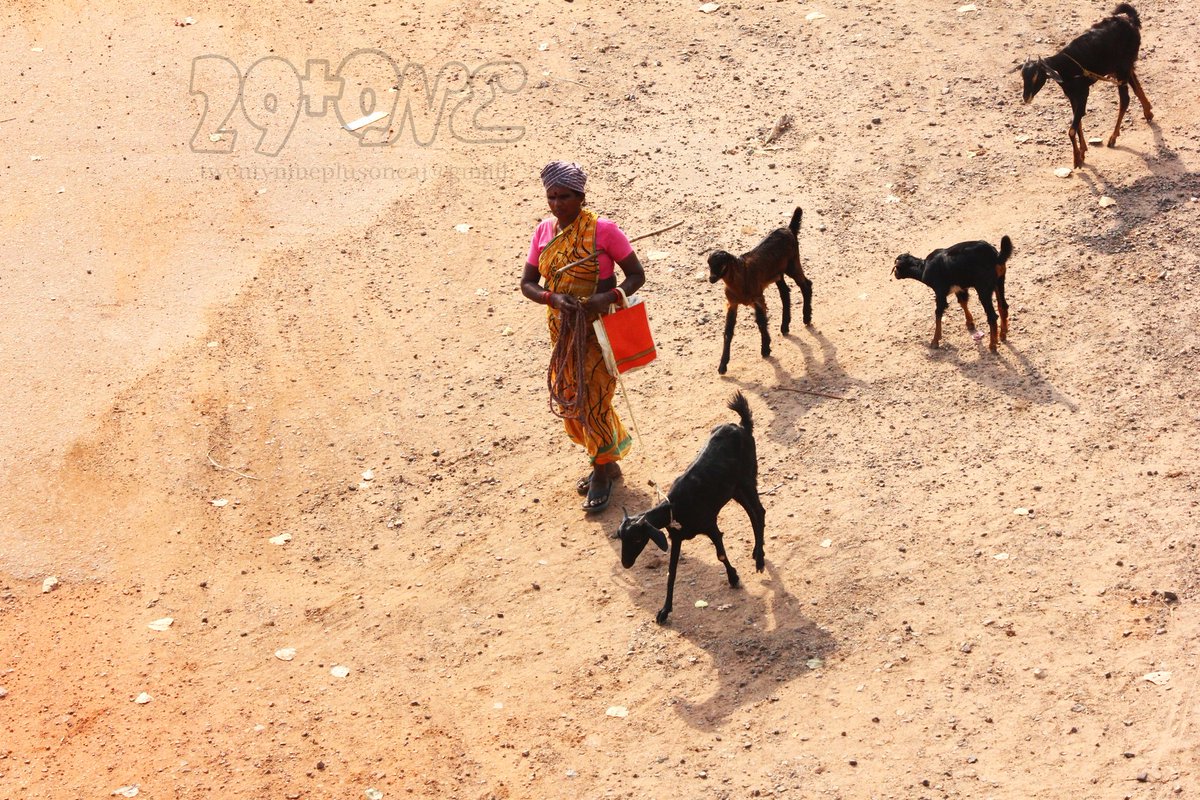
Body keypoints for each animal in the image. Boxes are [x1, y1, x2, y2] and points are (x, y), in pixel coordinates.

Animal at [616, 392, 764, 625]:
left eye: (638, 539)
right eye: (621, 537)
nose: (626, 564)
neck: (675, 507)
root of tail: (741, 426)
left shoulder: (710, 525)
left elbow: (720, 555)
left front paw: (733, 578)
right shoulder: (676, 537)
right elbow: (672, 572)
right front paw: (664, 611)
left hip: (748, 478)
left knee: (759, 512)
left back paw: (760, 560)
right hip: (734, 490)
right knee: (752, 513)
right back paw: (757, 552)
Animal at [707, 207, 813, 374]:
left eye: (721, 265)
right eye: (709, 265)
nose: (711, 278)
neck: (740, 278)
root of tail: (789, 229)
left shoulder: (758, 297)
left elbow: (761, 322)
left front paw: (765, 349)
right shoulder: (732, 303)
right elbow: (728, 331)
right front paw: (722, 366)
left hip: (793, 264)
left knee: (806, 285)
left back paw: (806, 318)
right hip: (777, 274)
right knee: (785, 292)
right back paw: (785, 326)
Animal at [1019, 3, 1153, 169]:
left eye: (1037, 76)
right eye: (1022, 75)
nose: (1026, 97)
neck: (1066, 67)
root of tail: (1131, 21)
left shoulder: (1083, 93)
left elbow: (1072, 129)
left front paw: (1077, 159)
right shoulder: (1072, 96)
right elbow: (1078, 123)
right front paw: (1082, 152)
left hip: (1122, 69)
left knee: (1125, 99)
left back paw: (1113, 137)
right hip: (1122, 67)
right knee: (1135, 84)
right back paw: (1148, 112)